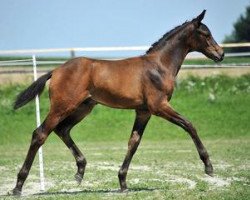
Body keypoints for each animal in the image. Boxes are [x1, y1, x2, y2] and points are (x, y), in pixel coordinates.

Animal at [11, 10, 224, 195]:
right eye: (206, 34)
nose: (220, 54)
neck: (159, 66)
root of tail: (56, 70)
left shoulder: (144, 111)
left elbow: (134, 142)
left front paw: (122, 181)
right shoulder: (159, 106)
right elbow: (189, 125)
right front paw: (208, 166)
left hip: (83, 108)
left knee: (62, 129)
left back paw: (80, 171)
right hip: (62, 107)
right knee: (40, 134)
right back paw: (18, 186)